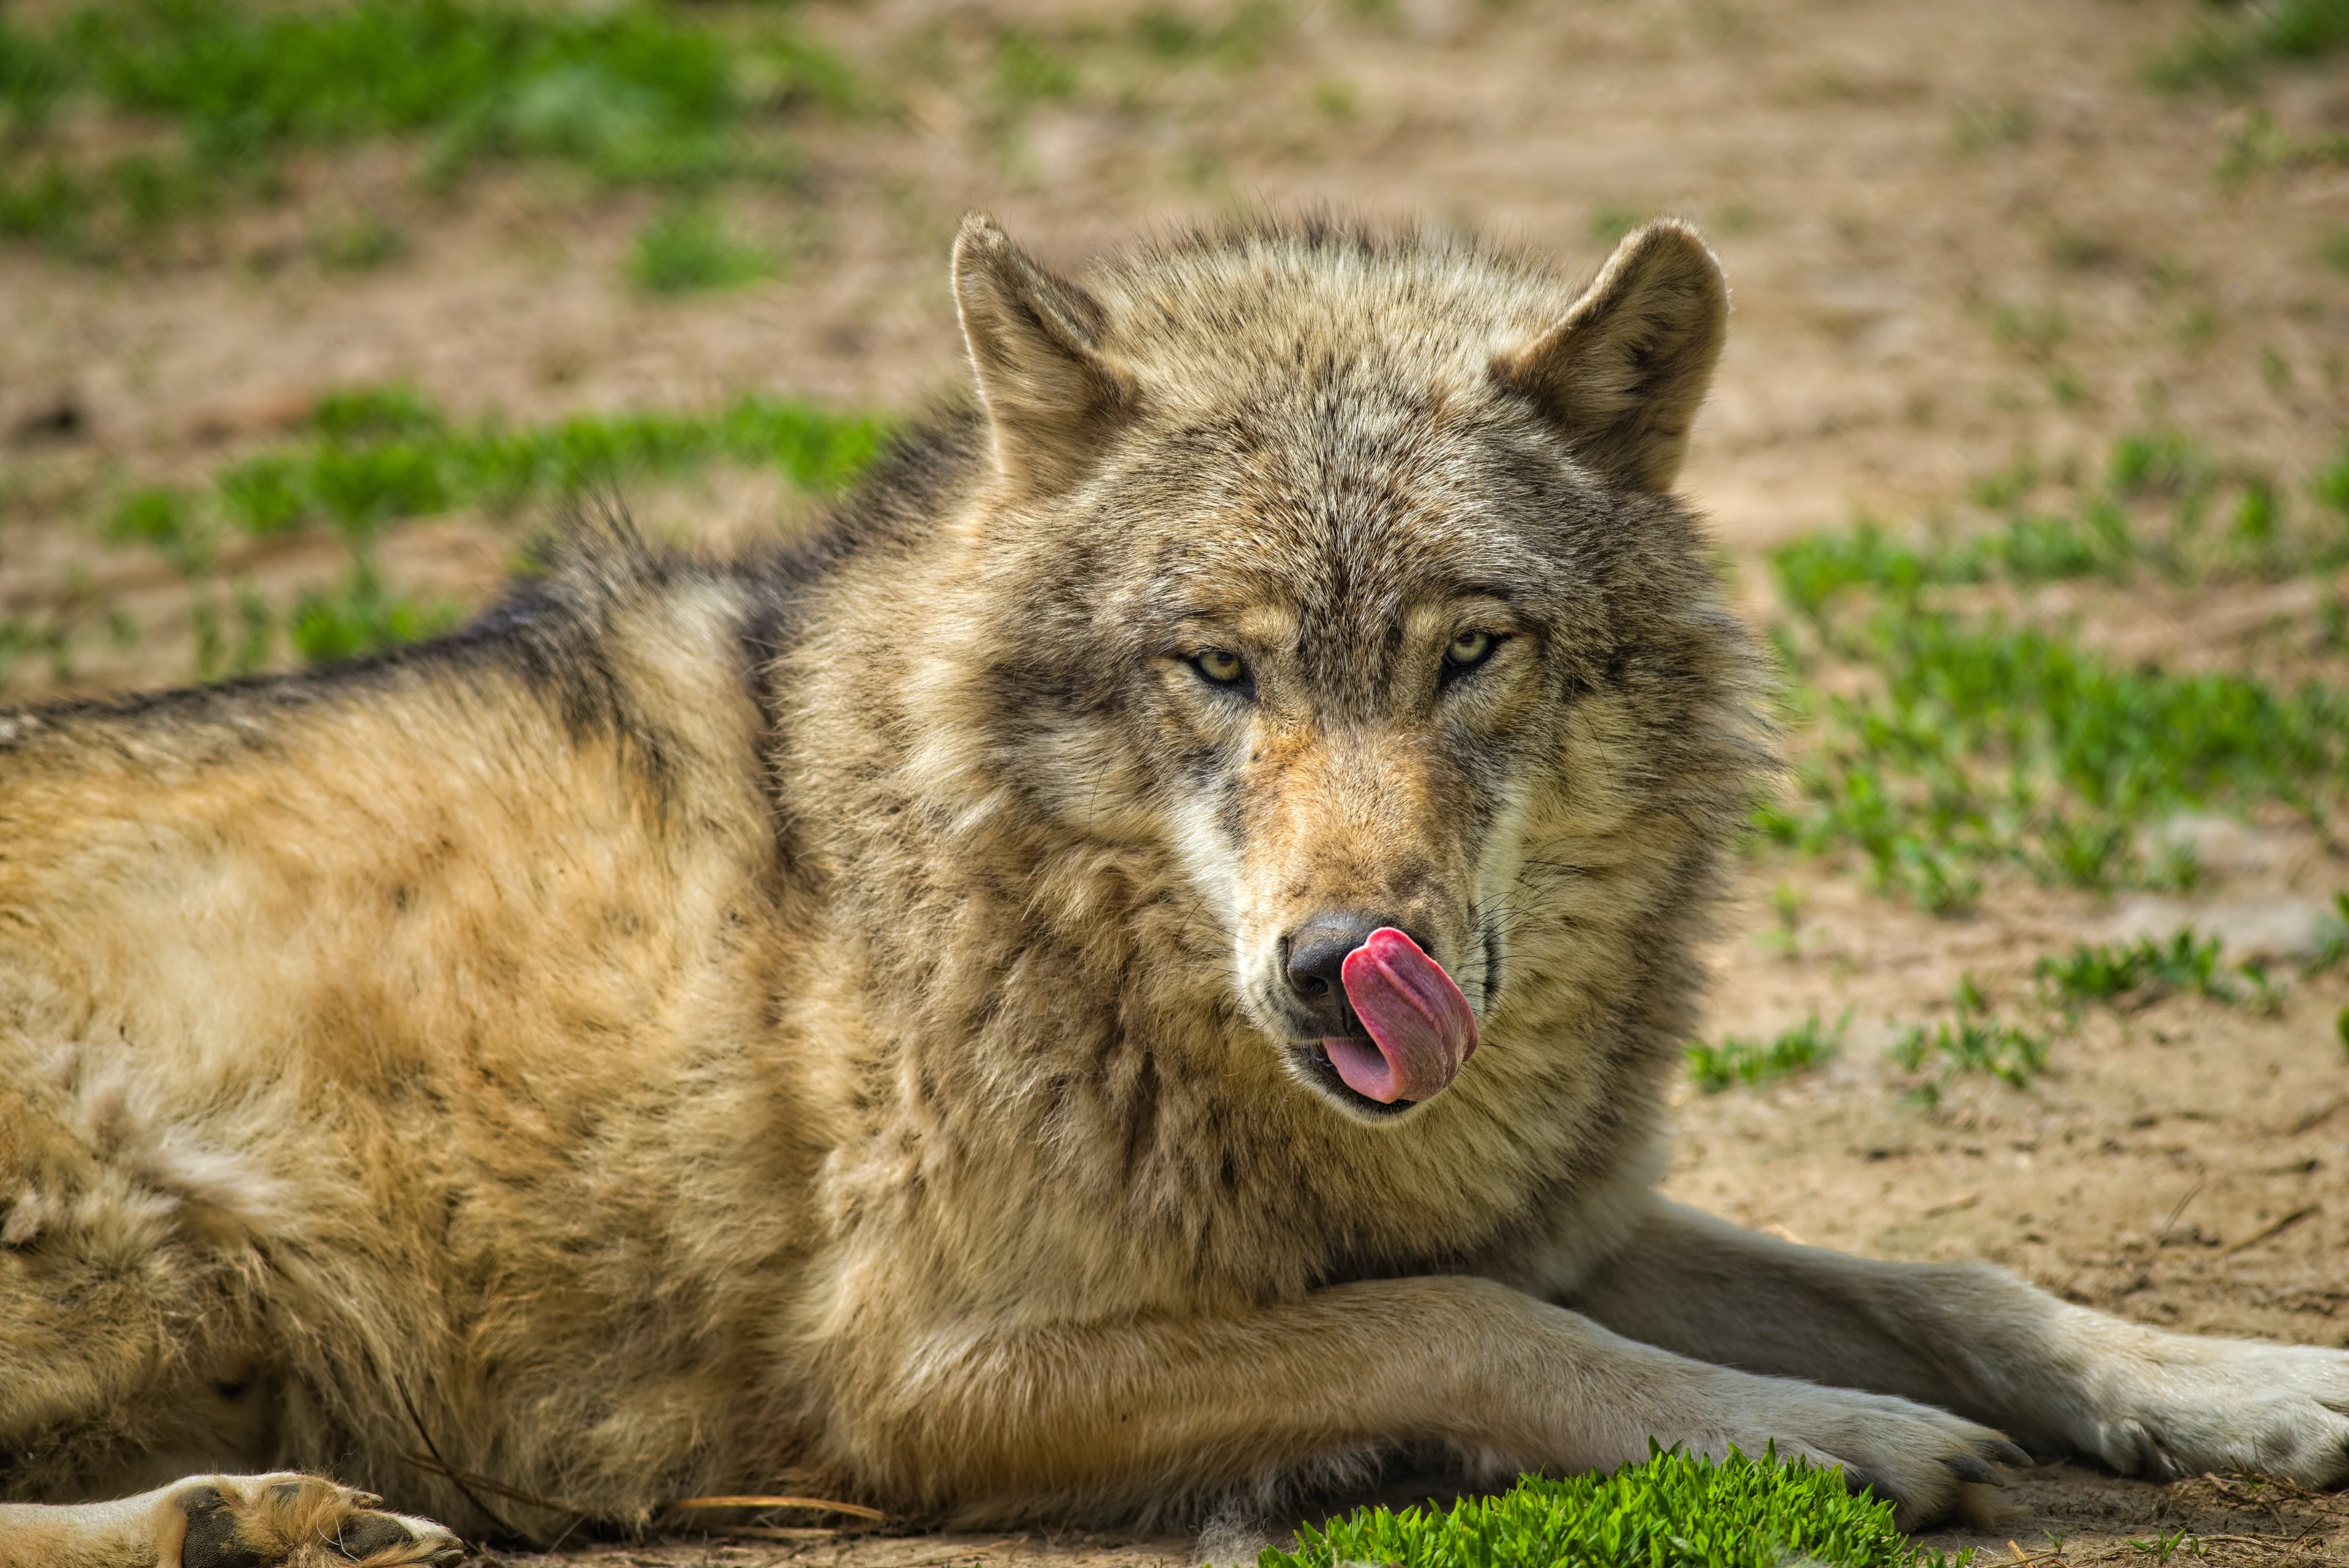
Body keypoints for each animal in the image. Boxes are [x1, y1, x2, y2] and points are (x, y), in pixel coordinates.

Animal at [3, 214, 2346, 1568]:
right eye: (1215, 666)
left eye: (1466, 649)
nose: (1336, 968)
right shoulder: (923, 1375)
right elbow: (1476, 1328)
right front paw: (1827, 1439)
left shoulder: (1549, 1204)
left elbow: (1958, 1279)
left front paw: (2242, 1386)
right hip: (140, 1237)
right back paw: (237, 1517)